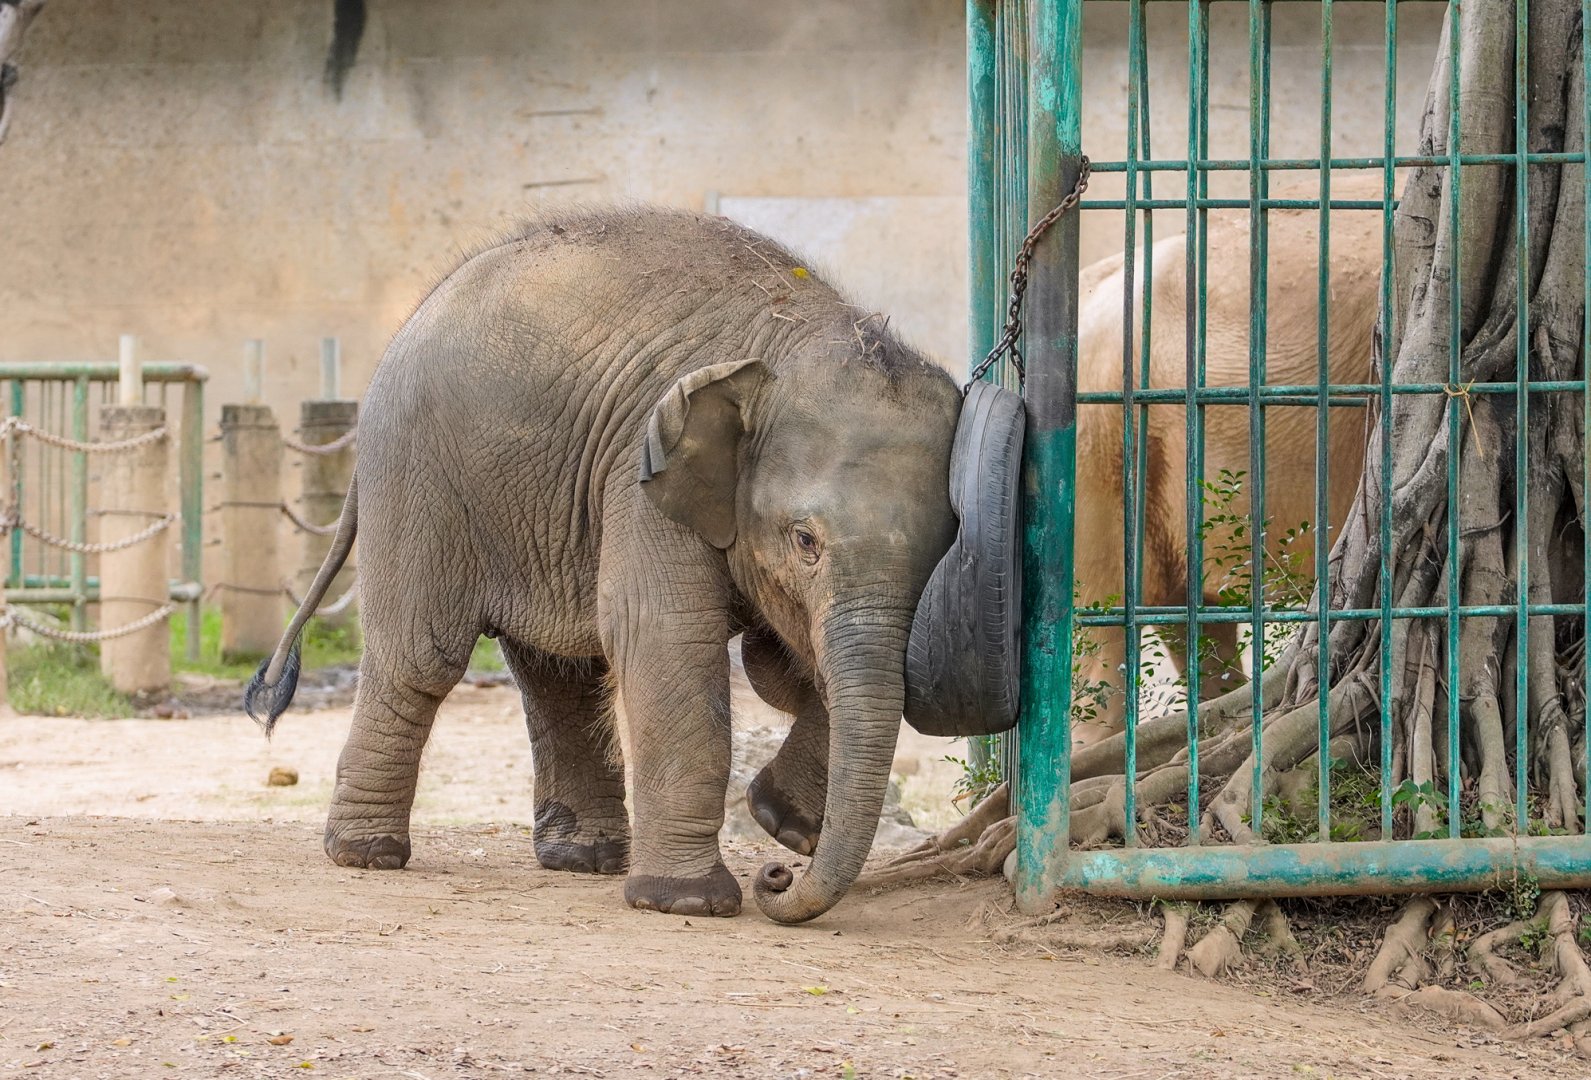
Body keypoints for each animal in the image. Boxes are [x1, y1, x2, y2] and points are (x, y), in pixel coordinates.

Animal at [247, 206, 966, 925]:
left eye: (947, 544)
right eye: (804, 540)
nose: (778, 875)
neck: (797, 333)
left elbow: (796, 669)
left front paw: (778, 817)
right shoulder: (641, 474)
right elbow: (665, 636)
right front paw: (689, 900)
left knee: (559, 671)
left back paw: (583, 858)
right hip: (416, 476)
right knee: (422, 660)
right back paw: (366, 854)